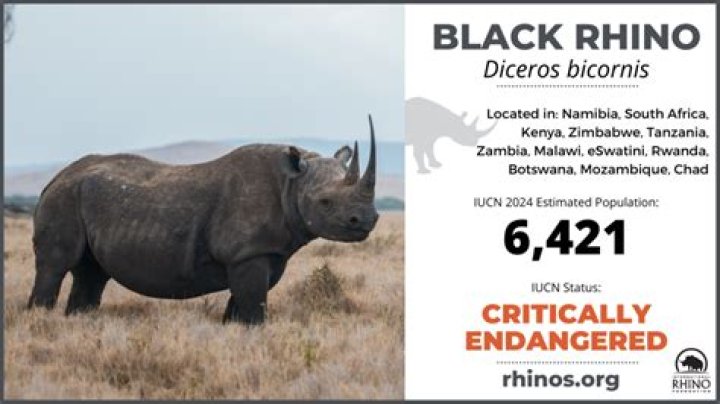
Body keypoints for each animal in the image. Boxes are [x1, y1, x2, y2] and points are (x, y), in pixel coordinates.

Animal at [27, 116, 380, 325]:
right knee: (55, 266)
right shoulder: (246, 254)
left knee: (91, 273)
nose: (366, 220)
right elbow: (254, 311)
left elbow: (240, 309)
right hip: (64, 198)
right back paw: (40, 321)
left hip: (78, 197)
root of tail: (54, 179)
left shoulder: (261, 253)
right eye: (325, 202)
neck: (291, 184)